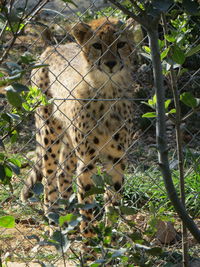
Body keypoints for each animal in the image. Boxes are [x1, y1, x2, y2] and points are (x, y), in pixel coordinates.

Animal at [21, 17, 141, 238]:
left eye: (120, 44)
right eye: (97, 45)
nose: (110, 63)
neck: (107, 89)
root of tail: (52, 45)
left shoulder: (117, 157)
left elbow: (114, 196)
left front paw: (110, 235)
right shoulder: (87, 158)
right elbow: (86, 197)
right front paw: (90, 238)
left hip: (69, 140)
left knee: (63, 174)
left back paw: (69, 216)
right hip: (49, 133)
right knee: (49, 178)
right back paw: (53, 221)